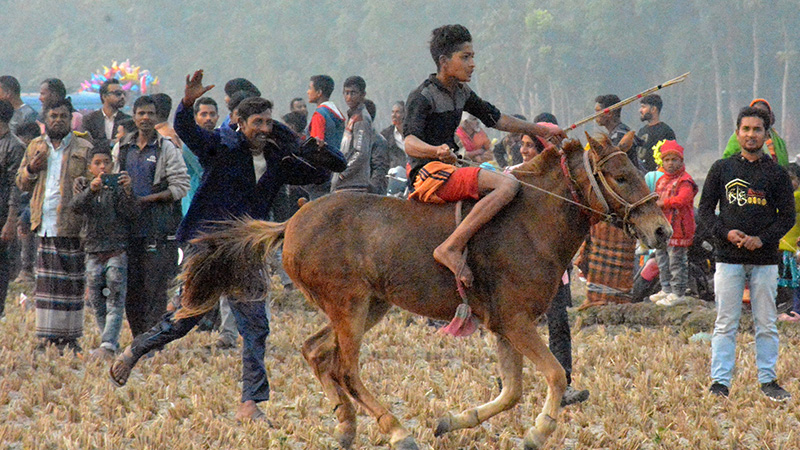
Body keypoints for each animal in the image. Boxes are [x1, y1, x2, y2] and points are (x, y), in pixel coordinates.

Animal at [178, 135, 672, 448]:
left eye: (637, 170)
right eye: (621, 175)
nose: (662, 229)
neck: (533, 221)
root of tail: (291, 222)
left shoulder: (504, 325)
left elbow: (512, 390)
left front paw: (453, 421)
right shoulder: (515, 321)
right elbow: (553, 374)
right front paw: (538, 431)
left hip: (369, 305)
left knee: (316, 352)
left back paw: (347, 426)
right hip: (348, 305)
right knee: (346, 368)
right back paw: (396, 430)